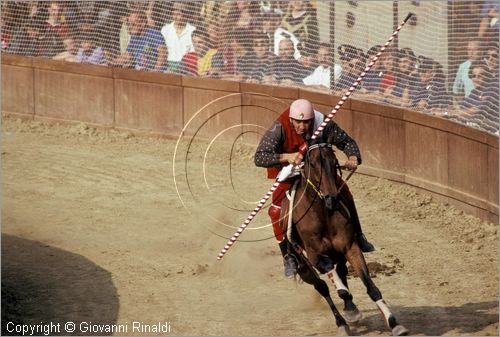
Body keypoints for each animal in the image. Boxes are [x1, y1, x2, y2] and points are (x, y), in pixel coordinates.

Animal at [280, 140, 408, 334]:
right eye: (313, 165)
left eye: (334, 164)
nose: (331, 198)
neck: (323, 213)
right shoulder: (315, 256)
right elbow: (336, 286)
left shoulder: (350, 247)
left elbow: (371, 287)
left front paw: (394, 323)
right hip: (303, 267)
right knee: (322, 287)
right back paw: (341, 323)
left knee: (341, 272)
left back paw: (350, 310)